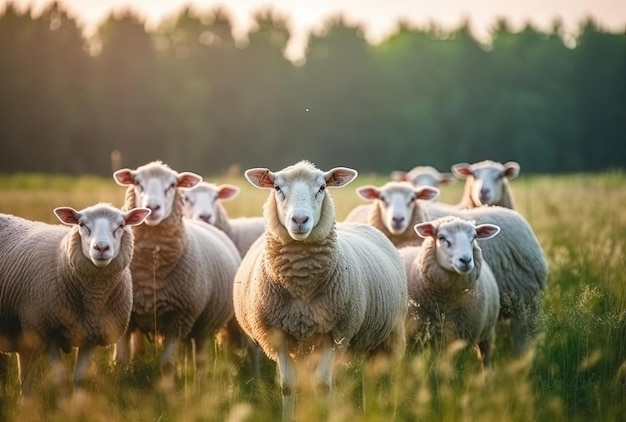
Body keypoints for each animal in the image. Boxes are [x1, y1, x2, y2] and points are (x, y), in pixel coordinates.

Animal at [0, 203, 150, 394]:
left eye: (121, 225)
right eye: (81, 224)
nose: (101, 248)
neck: (93, 301)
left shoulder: (90, 335)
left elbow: (80, 379)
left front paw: (78, 402)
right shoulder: (47, 333)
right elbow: (61, 379)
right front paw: (65, 402)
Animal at [111, 159, 241, 386]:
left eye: (172, 185)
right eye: (138, 183)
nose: (152, 207)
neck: (150, 270)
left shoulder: (179, 318)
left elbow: (167, 364)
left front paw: (167, 390)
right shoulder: (125, 318)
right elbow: (121, 359)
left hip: (202, 325)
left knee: (200, 356)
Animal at [232, 160, 408, 420]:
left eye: (322, 187)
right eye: (277, 187)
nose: (299, 220)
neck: (301, 285)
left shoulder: (334, 332)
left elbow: (323, 384)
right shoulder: (278, 334)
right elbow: (288, 385)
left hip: (389, 335)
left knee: (384, 375)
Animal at [402, 216, 500, 368]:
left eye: (474, 237)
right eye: (442, 238)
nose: (465, 260)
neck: (444, 304)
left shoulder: (459, 339)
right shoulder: (414, 338)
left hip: (487, 334)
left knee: (486, 360)